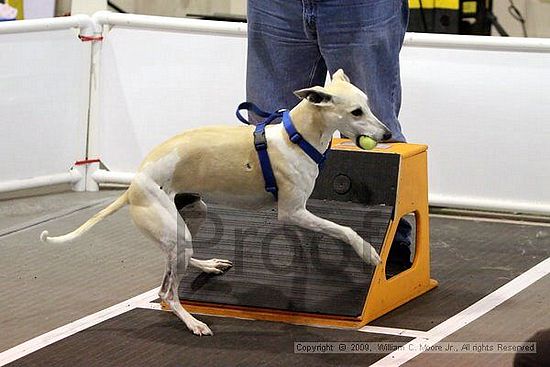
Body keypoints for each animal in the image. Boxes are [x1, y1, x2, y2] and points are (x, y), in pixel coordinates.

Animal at [42, 69, 392, 336]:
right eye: (356, 111)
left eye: (368, 105)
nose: (388, 135)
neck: (297, 138)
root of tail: (133, 187)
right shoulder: (293, 212)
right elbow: (344, 229)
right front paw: (369, 252)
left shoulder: (299, 213)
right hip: (174, 228)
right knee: (166, 292)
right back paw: (193, 323)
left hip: (192, 214)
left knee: (175, 263)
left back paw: (209, 264)